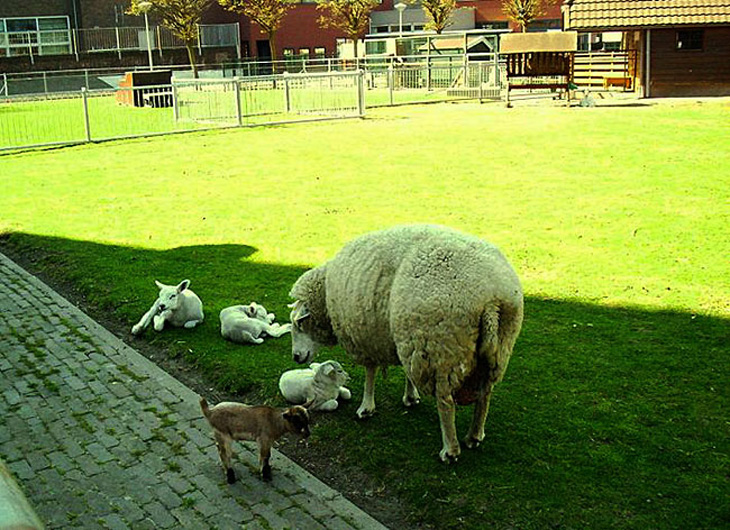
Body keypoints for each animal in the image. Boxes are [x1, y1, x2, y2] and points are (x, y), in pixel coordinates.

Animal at [288, 224, 520, 462]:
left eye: (299, 324)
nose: (295, 356)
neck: (326, 296)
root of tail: (492, 298)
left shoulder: (367, 338)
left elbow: (370, 374)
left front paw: (366, 407)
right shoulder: (406, 338)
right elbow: (407, 373)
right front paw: (410, 397)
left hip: (443, 349)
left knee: (446, 401)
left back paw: (450, 449)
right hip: (495, 351)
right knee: (485, 394)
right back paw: (474, 435)